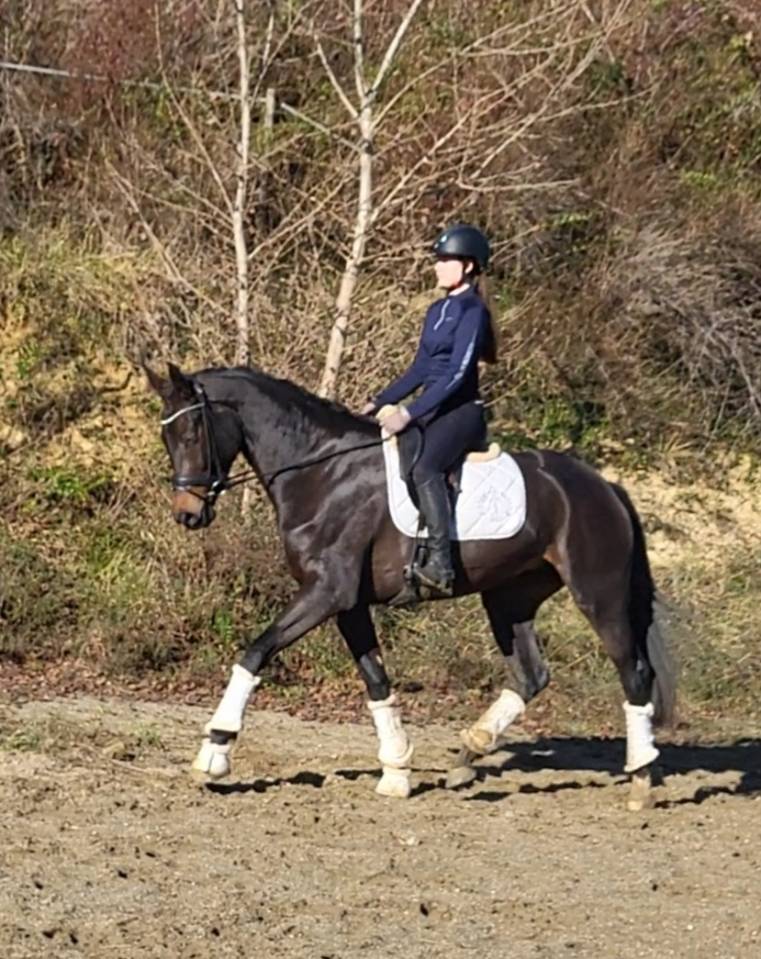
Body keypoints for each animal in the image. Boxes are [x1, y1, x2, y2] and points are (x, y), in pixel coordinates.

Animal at [144, 360, 676, 810]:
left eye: (192, 431)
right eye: (168, 436)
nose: (187, 515)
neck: (321, 471)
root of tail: (604, 486)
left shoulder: (326, 593)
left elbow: (255, 651)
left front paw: (215, 751)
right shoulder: (348, 605)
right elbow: (376, 681)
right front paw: (397, 771)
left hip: (598, 595)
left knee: (634, 674)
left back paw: (641, 780)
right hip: (510, 598)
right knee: (531, 675)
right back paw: (468, 754)